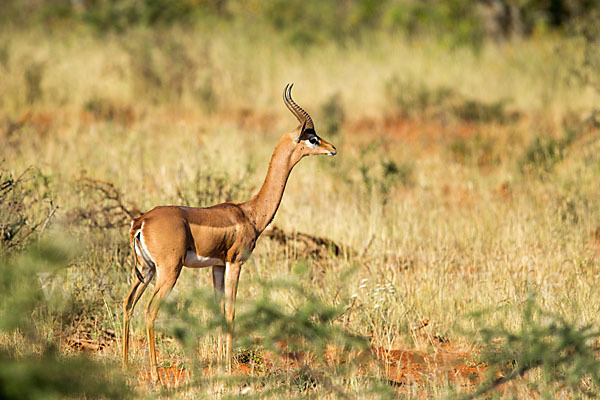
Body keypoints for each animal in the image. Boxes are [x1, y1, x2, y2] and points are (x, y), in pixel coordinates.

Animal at [122, 83, 338, 382]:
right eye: (313, 138)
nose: (333, 149)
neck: (249, 212)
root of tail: (142, 221)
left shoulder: (217, 266)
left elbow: (218, 310)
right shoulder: (236, 263)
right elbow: (232, 311)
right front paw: (226, 366)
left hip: (146, 270)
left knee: (128, 304)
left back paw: (123, 365)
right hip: (169, 271)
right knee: (150, 310)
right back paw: (155, 375)